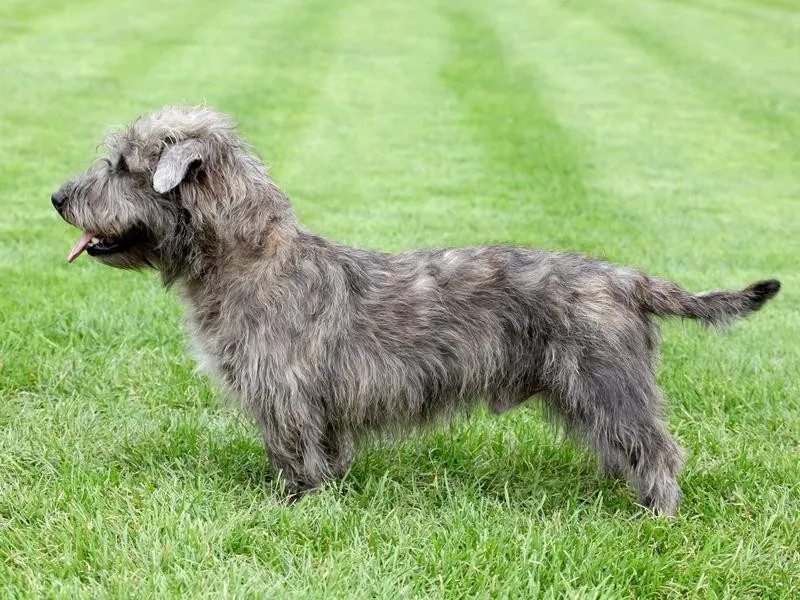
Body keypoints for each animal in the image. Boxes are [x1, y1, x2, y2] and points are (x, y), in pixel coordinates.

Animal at [51, 104, 780, 516]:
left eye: (122, 167)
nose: (58, 197)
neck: (246, 258)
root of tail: (627, 278)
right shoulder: (316, 401)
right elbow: (325, 450)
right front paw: (324, 492)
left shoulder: (285, 392)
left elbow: (294, 452)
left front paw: (294, 507)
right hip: (590, 392)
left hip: (607, 383)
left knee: (658, 448)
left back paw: (657, 514)